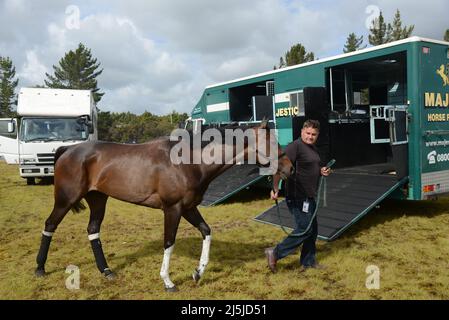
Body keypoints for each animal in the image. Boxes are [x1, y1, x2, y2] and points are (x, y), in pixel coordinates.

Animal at [35, 119, 294, 290]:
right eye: (272, 144)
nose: (290, 168)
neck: (190, 162)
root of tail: (68, 149)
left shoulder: (189, 208)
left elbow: (206, 231)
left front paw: (198, 273)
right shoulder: (173, 209)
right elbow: (169, 242)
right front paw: (168, 281)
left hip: (98, 199)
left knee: (92, 231)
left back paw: (106, 271)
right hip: (65, 200)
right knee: (49, 225)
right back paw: (39, 268)